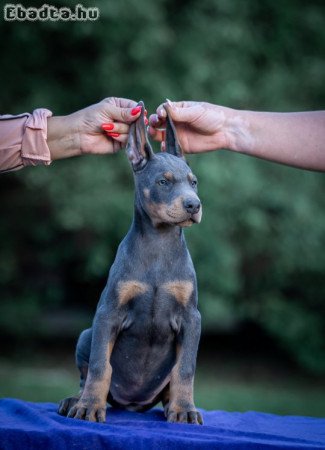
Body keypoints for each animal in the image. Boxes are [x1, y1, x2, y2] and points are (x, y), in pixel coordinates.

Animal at [57, 102, 201, 426]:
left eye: (194, 182)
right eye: (163, 181)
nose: (194, 205)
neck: (159, 243)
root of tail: (133, 404)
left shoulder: (191, 317)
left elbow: (185, 368)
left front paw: (185, 409)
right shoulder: (108, 312)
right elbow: (100, 366)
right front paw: (89, 407)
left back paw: (172, 405)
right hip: (85, 335)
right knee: (87, 374)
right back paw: (76, 400)